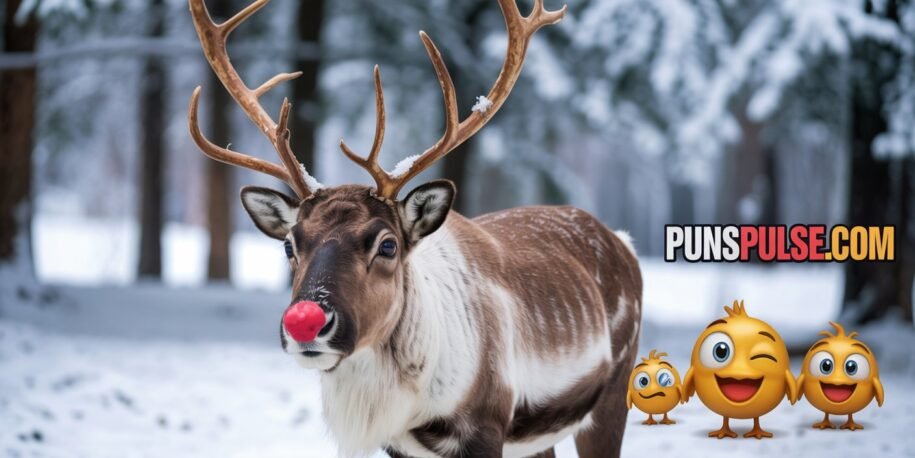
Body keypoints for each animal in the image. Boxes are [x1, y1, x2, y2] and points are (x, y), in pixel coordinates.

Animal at [186, 0, 642, 456]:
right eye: (288, 245)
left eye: (387, 245)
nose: (305, 321)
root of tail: (622, 240)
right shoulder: (399, 443)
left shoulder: (487, 423)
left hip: (612, 392)